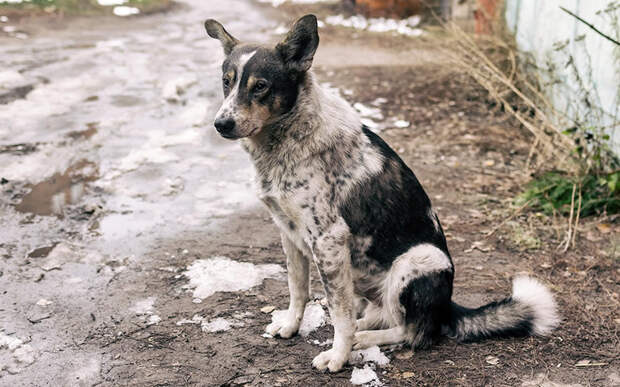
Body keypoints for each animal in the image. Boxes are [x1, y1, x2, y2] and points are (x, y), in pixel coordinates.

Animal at [202, 14, 556, 372]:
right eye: (226, 82)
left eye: (260, 86)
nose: (221, 125)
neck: (284, 143)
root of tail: (447, 309)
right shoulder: (290, 234)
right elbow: (297, 291)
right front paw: (291, 326)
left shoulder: (328, 240)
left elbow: (340, 313)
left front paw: (338, 356)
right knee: (378, 314)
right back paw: (361, 329)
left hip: (418, 260)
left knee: (413, 332)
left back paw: (364, 339)